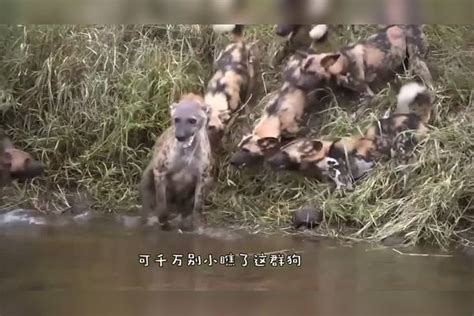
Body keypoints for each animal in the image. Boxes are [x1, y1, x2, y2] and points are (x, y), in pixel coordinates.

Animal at [139, 94, 213, 232]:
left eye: (192, 120)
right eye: (176, 119)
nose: (180, 136)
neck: (187, 151)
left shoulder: (204, 175)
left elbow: (198, 204)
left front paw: (195, 226)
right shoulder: (160, 170)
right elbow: (161, 202)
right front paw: (164, 224)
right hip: (148, 176)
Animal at [266, 81, 434, 190]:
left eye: (283, 152)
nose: (268, 160)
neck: (321, 156)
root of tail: (417, 118)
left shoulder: (343, 171)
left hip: (400, 148)